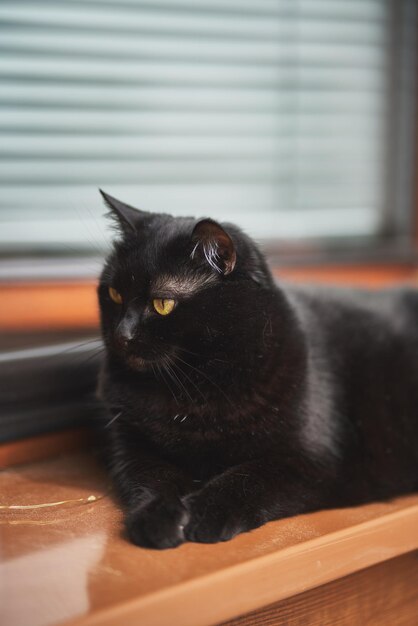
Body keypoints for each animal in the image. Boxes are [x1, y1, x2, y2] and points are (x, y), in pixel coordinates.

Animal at [96, 190, 418, 544]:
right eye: (114, 294)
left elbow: (249, 477)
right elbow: (150, 478)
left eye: (162, 304)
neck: (194, 385)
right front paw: (156, 518)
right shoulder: (129, 444)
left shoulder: (309, 460)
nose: (122, 334)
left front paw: (205, 512)